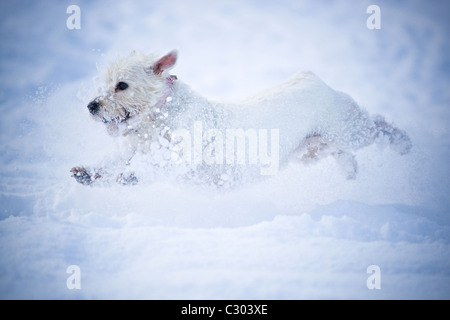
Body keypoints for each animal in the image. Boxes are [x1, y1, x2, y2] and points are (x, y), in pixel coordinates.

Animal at [71, 51, 412, 186]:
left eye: (122, 85)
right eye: (105, 82)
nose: (91, 106)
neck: (159, 115)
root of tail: (312, 78)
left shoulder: (183, 150)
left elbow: (157, 162)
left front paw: (132, 175)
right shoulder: (129, 148)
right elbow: (111, 161)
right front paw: (88, 172)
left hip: (348, 129)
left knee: (379, 127)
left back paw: (403, 144)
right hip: (313, 148)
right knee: (343, 153)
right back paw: (350, 173)